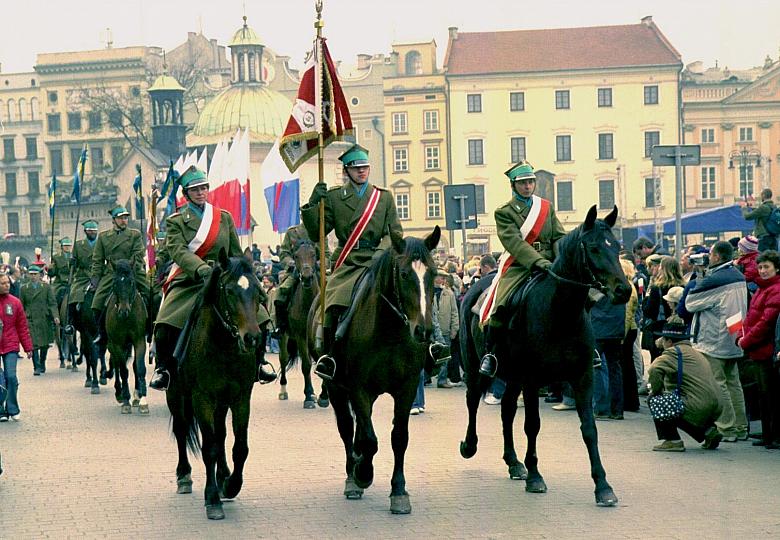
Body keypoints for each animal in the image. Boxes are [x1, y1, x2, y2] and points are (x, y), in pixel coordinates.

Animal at [106, 260, 149, 416]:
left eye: (131, 282)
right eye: (114, 283)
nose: (123, 311)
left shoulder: (139, 341)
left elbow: (140, 367)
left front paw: (143, 400)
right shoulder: (117, 344)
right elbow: (124, 370)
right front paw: (125, 400)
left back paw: (136, 396)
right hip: (112, 344)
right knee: (117, 365)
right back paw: (119, 393)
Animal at [165, 251, 266, 520]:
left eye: (257, 290)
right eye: (229, 290)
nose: (252, 338)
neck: (224, 346)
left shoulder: (241, 397)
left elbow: (239, 446)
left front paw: (231, 485)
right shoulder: (202, 398)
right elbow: (208, 447)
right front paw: (212, 499)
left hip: (221, 403)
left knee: (221, 435)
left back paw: (222, 477)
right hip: (176, 395)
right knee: (182, 429)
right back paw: (184, 476)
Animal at [276, 240, 328, 410]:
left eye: (313, 254)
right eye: (296, 256)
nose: (306, 277)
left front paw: (323, 397)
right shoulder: (300, 337)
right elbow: (306, 365)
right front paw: (309, 396)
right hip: (284, 335)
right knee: (283, 358)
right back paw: (283, 390)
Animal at [312, 225, 444, 516]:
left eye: (433, 273)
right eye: (404, 274)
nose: (424, 330)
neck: (389, 332)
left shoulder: (406, 387)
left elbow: (399, 437)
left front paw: (399, 491)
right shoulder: (358, 388)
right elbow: (370, 439)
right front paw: (363, 473)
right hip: (337, 388)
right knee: (347, 427)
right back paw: (353, 475)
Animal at [458, 206, 632, 506]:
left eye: (617, 246)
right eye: (594, 248)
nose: (624, 290)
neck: (561, 314)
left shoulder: (583, 377)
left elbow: (589, 428)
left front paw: (603, 486)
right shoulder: (532, 379)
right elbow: (532, 425)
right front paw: (535, 477)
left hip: (512, 376)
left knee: (506, 410)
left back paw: (514, 462)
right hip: (476, 368)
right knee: (472, 402)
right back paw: (470, 446)